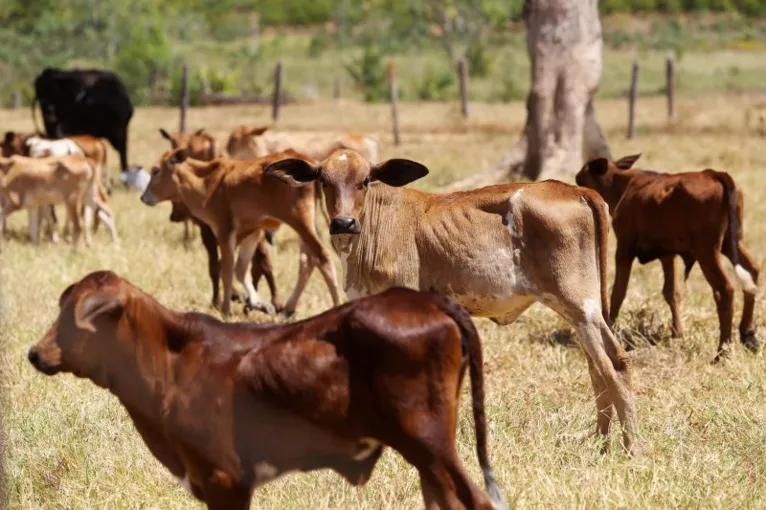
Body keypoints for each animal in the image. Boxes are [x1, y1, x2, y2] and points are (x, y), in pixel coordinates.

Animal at [28, 268, 510, 508]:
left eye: (75, 317)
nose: (36, 352)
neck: (172, 363)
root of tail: (426, 300)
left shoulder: (223, 481)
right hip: (427, 457)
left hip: (430, 444)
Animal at [139, 146, 342, 318]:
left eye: (155, 170)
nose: (143, 197)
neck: (208, 182)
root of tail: (314, 167)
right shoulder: (252, 233)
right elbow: (240, 269)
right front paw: (258, 302)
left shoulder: (224, 232)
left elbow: (227, 270)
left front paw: (226, 310)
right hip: (307, 226)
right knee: (308, 260)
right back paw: (289, 308)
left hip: (300, 221)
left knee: (323, 257)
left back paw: (336, 305)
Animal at [268, 148, 644, 454]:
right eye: (323, 181)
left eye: (365, 181)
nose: (343, 223)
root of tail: (575, 189)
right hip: (584, 311)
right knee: (599, 367)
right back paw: (601, 443)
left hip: (578, 305)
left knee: (614, 365)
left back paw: (630, 448)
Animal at [576, 153, 760, 360]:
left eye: (581, 180)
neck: (626, 184)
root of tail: (713, 173)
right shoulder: (668, 255)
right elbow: (672, 293)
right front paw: (677, 332)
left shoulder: (624, 248)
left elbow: (618, 292)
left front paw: (610, 326)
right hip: (732, 244)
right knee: (752, 272)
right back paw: (748, 334)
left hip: (707, 251)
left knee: (725, 289)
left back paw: (722, 351)